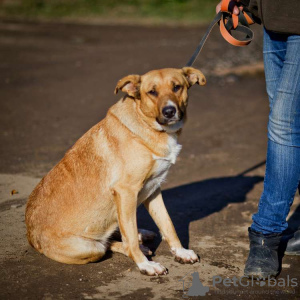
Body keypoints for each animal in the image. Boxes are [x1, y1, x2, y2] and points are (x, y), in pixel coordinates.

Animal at [25, 67, 206, 276]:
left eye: (177, 87)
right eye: (152, 92)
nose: (169, 111)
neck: (146, 125)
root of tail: (31, 236)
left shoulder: (153, 189)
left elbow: (167, 224)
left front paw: (181, 251)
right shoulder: (126, 192)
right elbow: (131, 240)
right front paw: (145, 265)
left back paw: (141, 234)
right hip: (91, 248)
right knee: (111, 244)